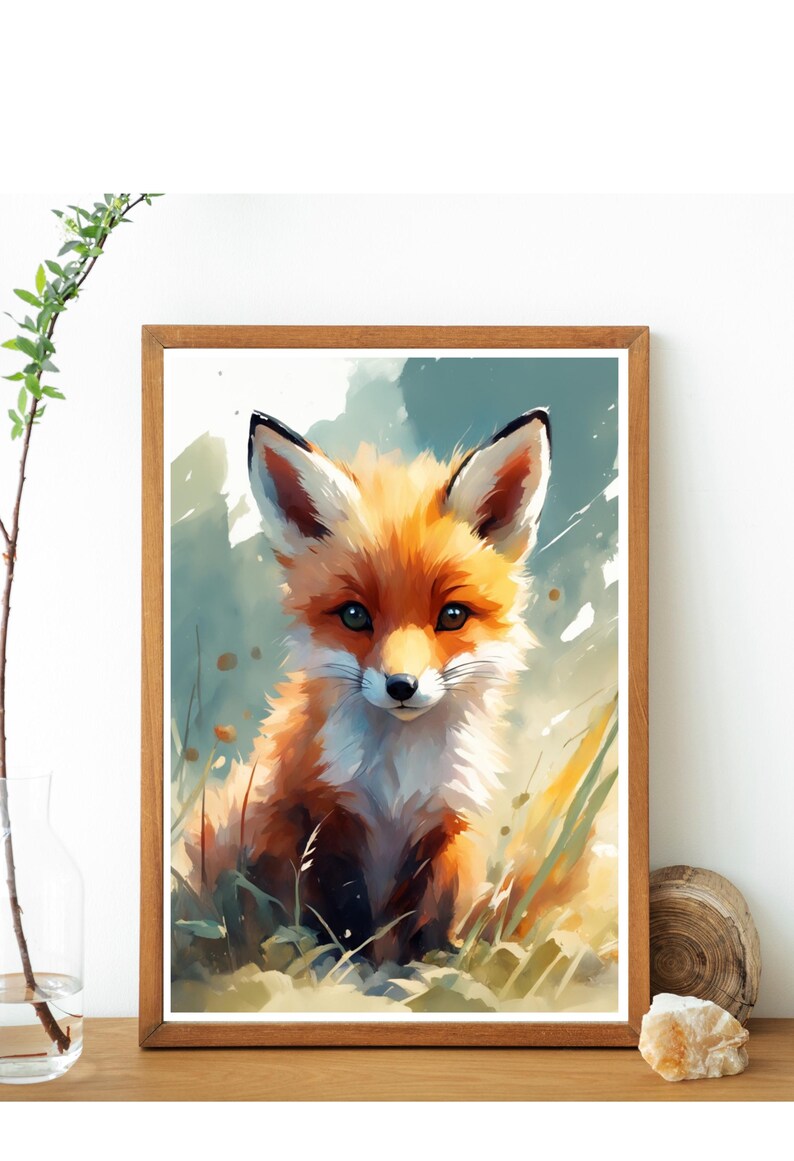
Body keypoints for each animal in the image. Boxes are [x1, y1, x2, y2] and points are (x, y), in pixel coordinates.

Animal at [195, 407, 551, 966]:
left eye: (452, 615)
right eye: (354, 615)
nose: (401, 685)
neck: (397, 783)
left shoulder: (447, 829)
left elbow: (428, 922)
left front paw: (425, 964)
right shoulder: (321, 819)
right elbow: (343, 916)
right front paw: (352, 961)